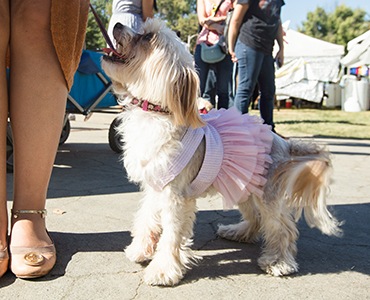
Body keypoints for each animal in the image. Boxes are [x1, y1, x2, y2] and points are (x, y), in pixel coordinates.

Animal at [101, 18, 342, 286]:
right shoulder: (156, 186)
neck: (155, 113)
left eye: (147, 37)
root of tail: (282, 141)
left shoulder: (176, 197)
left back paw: (279, 262)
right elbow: (146, 218)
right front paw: (140, 249)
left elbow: (171, 234)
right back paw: (238, 232)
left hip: (267, 197)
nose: (118, 23)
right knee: (256, 218)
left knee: (282, 228)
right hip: (244, 188)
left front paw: (162, 270)